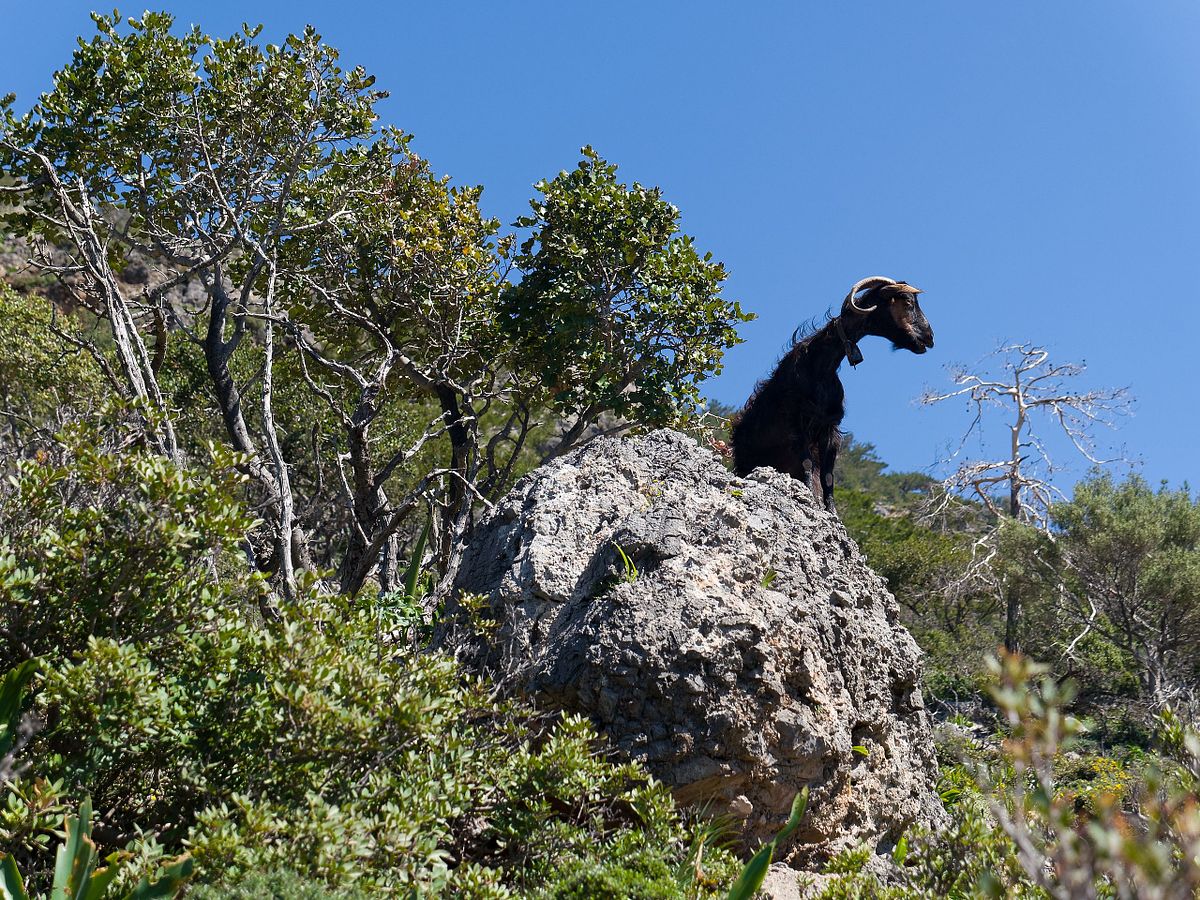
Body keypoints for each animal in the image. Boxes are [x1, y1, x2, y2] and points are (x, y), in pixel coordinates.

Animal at [730, 276, 934, 514]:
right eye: (908, 302)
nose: (930, 337)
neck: (821, 367)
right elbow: (808, 464)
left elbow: (828, 476)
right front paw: (810, 498)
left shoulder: (830, 429)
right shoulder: (798, 423)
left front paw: (832, 512)